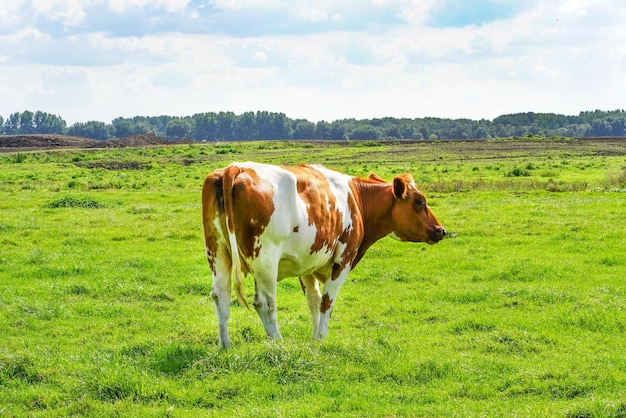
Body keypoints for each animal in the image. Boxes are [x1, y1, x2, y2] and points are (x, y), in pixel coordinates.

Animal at [201, 162, 444, 348]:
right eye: (420, 201)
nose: (441, 230)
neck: (356, 198)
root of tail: (236, 167)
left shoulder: (307, 263)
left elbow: (314, 301)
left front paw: (314, 338)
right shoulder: (344, 258)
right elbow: (327, 301)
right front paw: (322, 339)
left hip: (217, 253)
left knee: (221, 296)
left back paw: (225, 347)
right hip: (265, 260)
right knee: (265, 303)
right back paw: (278, 343)